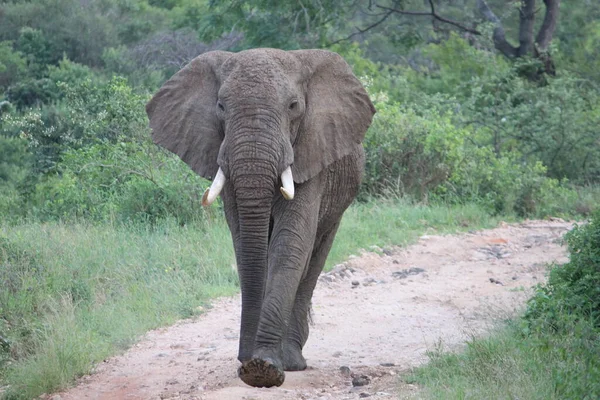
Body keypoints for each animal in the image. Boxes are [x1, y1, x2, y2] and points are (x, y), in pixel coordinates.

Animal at [146, 47, 376, 388]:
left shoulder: (311, 155)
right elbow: (245, 246)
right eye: (220, 107)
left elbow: (290, 244)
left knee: (314, 259)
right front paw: (251, 364)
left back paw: (292, 360)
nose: (246, 359)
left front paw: (264, 367)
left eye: (293, 106)